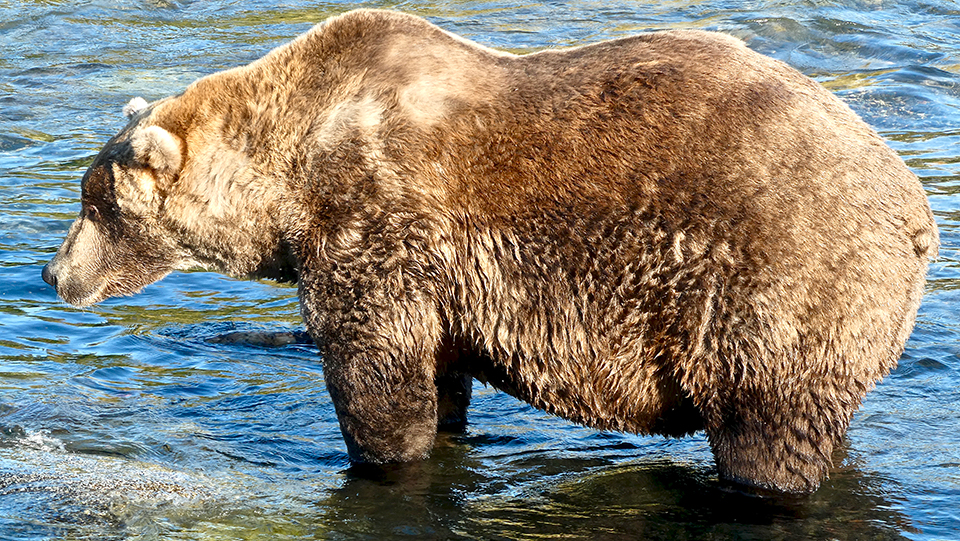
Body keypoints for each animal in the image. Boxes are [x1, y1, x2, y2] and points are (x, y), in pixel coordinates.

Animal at [42, 9, 938, 494]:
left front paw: (378, 460)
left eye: (93, 202)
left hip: (778, 279)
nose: (53, 270)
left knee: (766, 424)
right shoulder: (433, 275)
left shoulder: (375, 217)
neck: (287, 169)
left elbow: (375, 375)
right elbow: (437, 374)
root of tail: (915, 209)